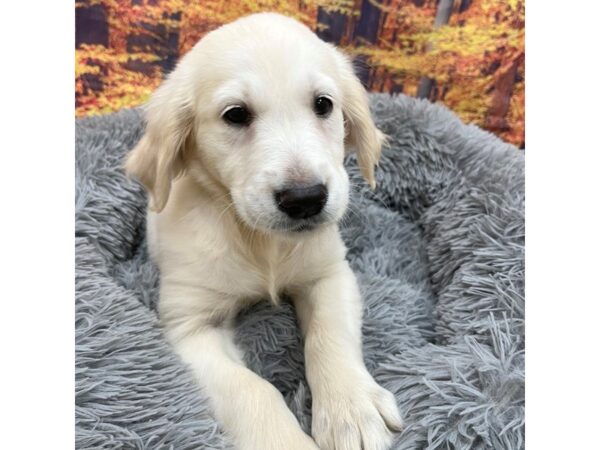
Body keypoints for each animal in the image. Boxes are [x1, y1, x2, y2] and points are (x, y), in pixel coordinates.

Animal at [127, 13, 406, 450]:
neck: (262, 242)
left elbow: (329, 335)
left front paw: (352, 409)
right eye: (235, 114)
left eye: (323, 104)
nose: (305, 199)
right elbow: (251, 388)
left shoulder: (329, 274)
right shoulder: (190, 326)